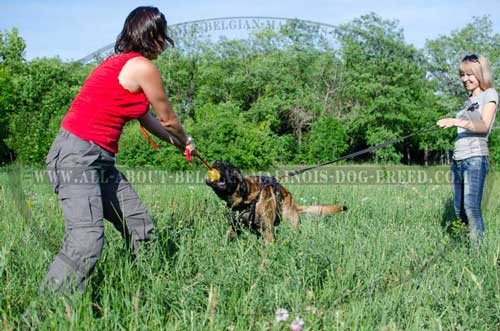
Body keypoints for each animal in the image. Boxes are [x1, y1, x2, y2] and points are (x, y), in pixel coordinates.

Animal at [205, 161, 346, 244]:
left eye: (228, 168)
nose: (217, 162)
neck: (249, 197)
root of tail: (294, 205)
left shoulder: (268, 232)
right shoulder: (234, 228)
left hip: (290, 226)